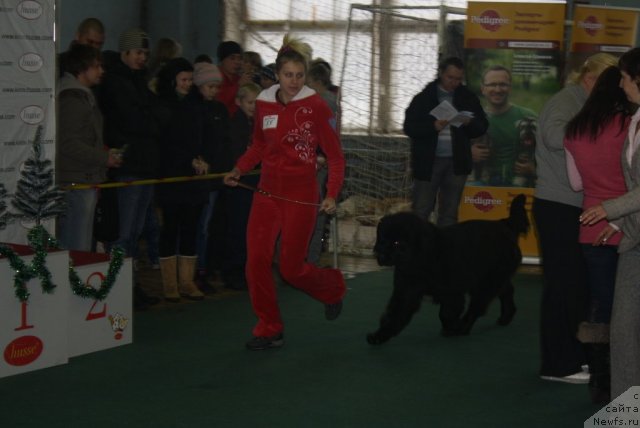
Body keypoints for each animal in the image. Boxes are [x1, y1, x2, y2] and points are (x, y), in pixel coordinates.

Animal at [368, 194, 528, 344]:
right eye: (382, 240)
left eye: (396, 242)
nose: (381, 256)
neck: (423, 257)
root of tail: (505, 225)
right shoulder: (406, 291)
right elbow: (395, 315)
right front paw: (379, 336)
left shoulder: (453, 292)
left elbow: (446, 314)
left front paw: (452, 328)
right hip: (495, 278)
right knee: (506, 290)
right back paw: (506, 317)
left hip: (487, 281)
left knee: (477, 306)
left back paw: (464, 327)